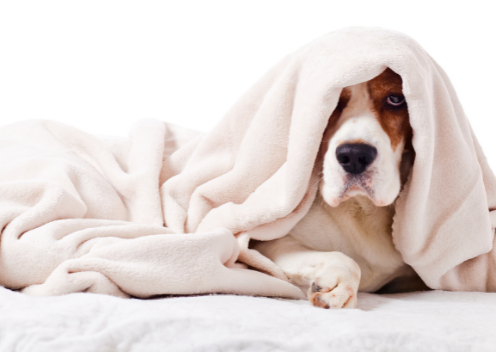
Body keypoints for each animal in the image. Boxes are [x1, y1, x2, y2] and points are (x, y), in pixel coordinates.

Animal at [252, 68, 426, 308]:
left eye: (395, 99)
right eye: (330, 103)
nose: (354, 156)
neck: (363, 210)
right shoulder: (270, 243)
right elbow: (344, 258)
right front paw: (338, 286)